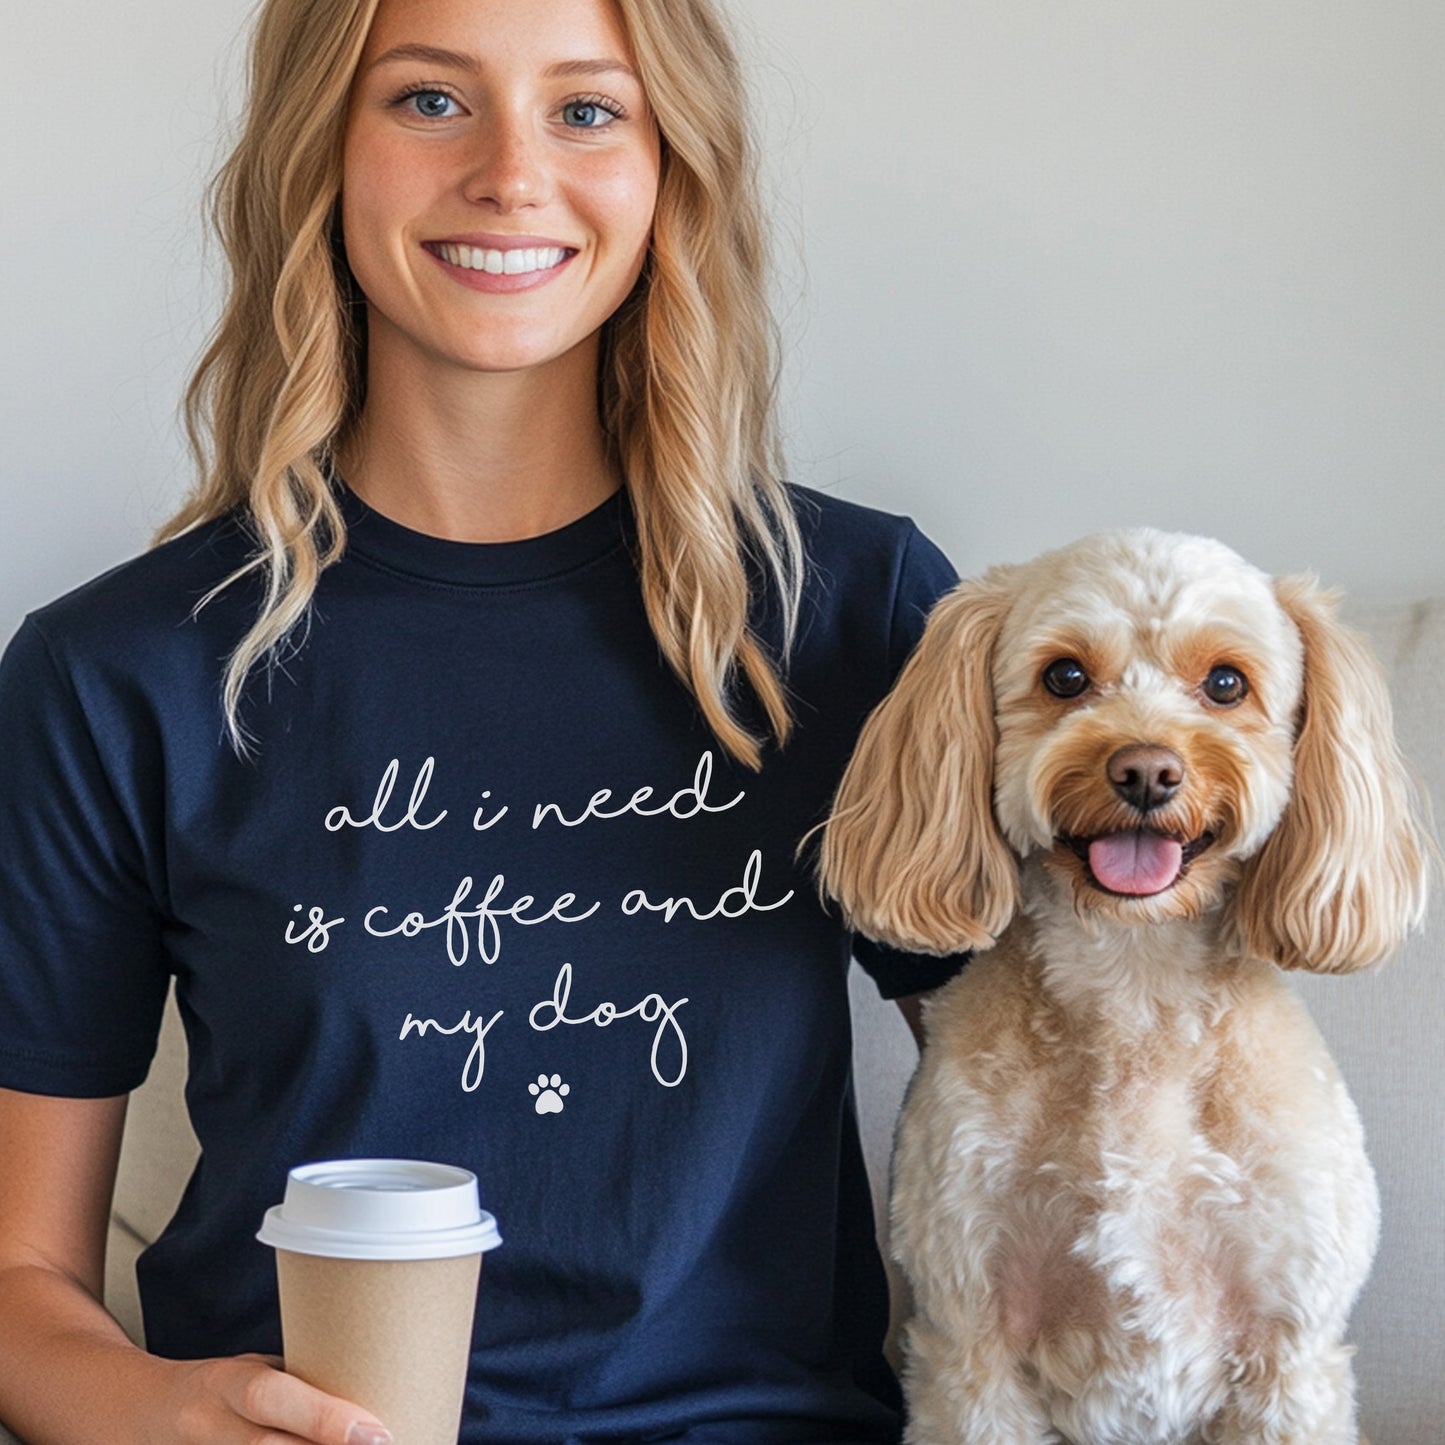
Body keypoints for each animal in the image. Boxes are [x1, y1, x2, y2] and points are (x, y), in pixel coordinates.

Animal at [820, 531, 1427, 1445]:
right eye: (1064, 676)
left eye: (1225, 683)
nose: (1145, 770)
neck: (1134, 984)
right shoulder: (971, 1342)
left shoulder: (1288, 1354)